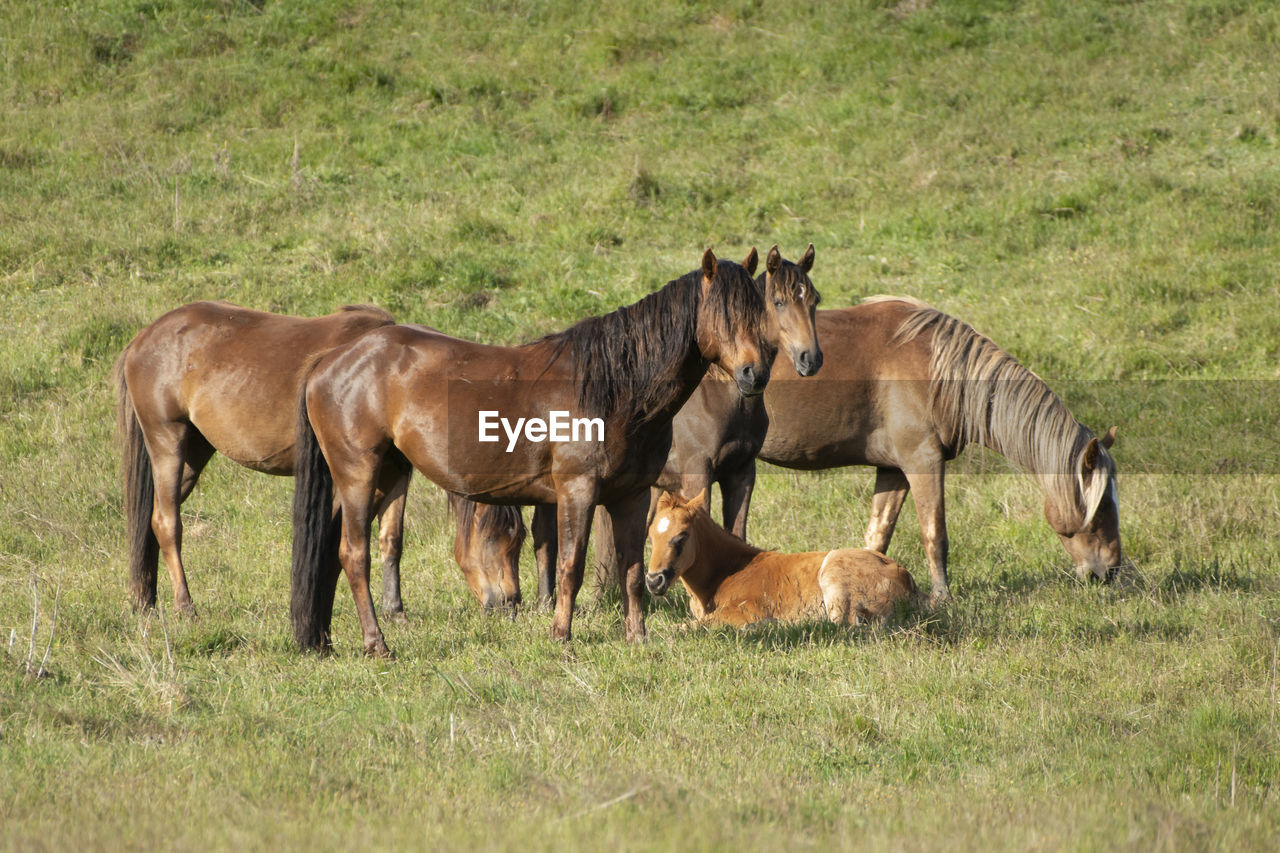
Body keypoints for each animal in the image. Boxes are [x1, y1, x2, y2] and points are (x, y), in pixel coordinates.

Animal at [115, 300, 522, 617]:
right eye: (494, 538)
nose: (510, 603)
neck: (395, 378)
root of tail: (141, 338)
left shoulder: (396, 470)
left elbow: (391, 539)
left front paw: (395, 611)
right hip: (168, 441)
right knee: (167, 523)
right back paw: (185, 606)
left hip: (194, 454)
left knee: (150, 521)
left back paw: (145, 599)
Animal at [291, 245, 778, 650]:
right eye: (724, 314)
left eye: (759, 312)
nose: (755, 375)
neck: (613, 389)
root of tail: (330, 361)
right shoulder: (577, 491)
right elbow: (569, 566)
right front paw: (561, 635)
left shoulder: (632, 496)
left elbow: (633, 570)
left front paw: (637, 638)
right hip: (358, 473)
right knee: (354, 555)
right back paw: (377, 644)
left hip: (386, 473)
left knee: (332, 554)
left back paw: (323, 640)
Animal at [645, 484, 916, 625]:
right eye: (650, 537)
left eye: (682, 536)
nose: (654, 580)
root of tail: (907, 578)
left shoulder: (745, 611)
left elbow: (688, 625)